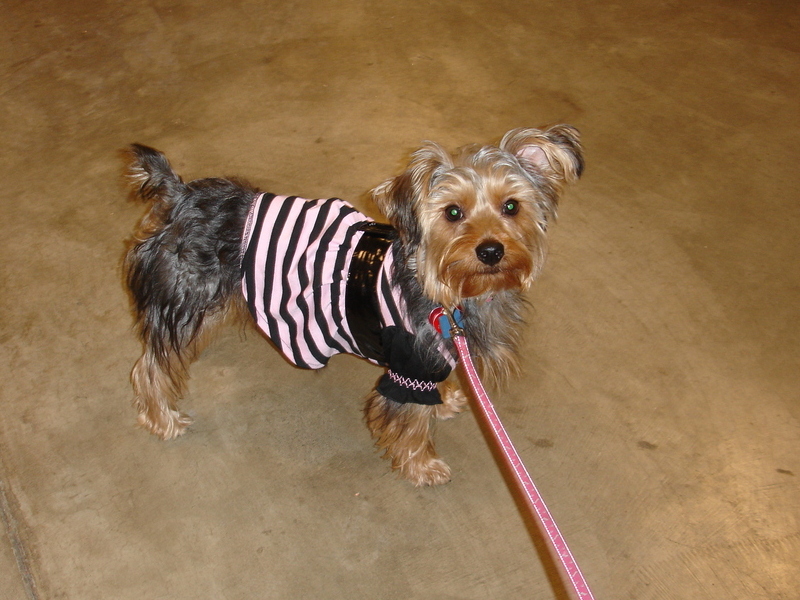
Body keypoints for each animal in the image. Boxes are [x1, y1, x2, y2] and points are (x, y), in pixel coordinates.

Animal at [123, 124, 580, 486]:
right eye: (453, 213)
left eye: (511, 207)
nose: (490, 251)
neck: (453, 293)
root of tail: (179, 196)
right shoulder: (409, 364)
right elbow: (411, 420)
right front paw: (422, 466)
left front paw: (447, 400)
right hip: (185, 298)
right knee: (152, 365)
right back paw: (162, 419)